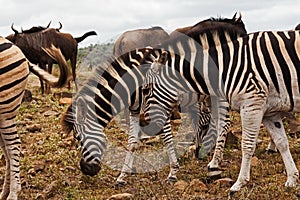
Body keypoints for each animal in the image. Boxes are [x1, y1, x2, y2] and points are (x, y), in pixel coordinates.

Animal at [62, 14, 247, 185]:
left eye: (77, 138)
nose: (86, 170)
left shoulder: (158, 106)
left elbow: (167, 139)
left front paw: (173, 173)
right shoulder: (135, 109)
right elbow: (132, 142)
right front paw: (122, 176)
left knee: (224, 123)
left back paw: (214, 165)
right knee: (211, 121)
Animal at [141, 25, 300, 195]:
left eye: (145, 90)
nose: (145, 125)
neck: (226, 67)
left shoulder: (252, 104)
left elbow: (246, 144)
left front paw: (239, 183)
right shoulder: (269, 112)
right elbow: (282, 142)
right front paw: (292, 179)